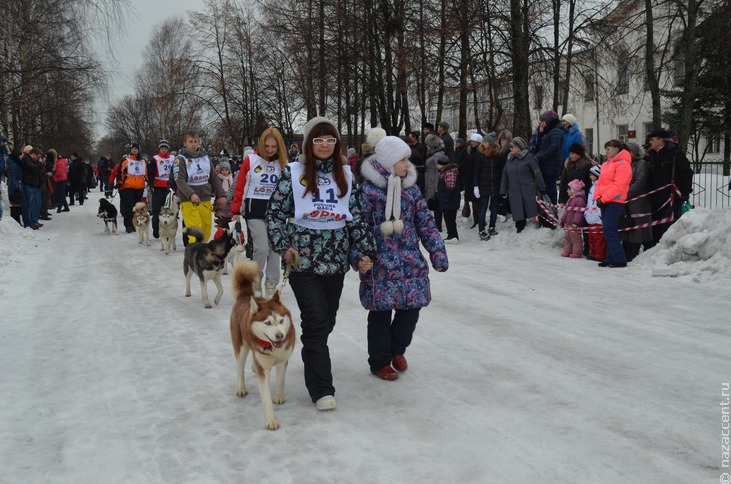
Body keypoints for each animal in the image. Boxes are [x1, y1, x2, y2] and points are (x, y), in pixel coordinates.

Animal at [230, 260, 296, 432]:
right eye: (267, 323)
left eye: (281, 321)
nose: (280, 335)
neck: (272, 348)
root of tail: (246, 296)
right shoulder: (263, 370)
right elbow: (265, 397)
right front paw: (271, 420)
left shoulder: (282, 361)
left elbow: (280, 381)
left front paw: (278, 397)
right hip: (241, 346)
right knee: (240, 367)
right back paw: (241, 387)